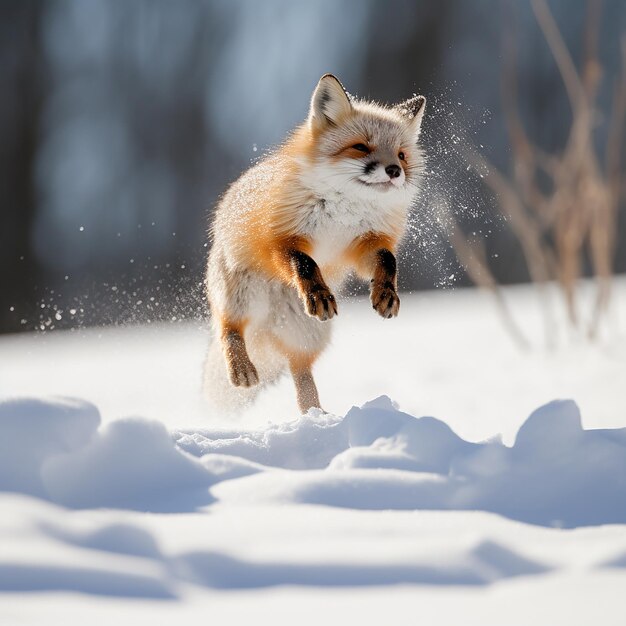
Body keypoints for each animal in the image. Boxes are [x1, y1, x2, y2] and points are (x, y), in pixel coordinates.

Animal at [204, 73, 424, 412]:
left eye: (401, 154)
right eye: (361, 147)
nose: (394, 170)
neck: (344, 210)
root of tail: (271, 321)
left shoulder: (362, 244)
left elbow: (388, 259)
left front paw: (386, 292)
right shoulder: (281, 239)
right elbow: (304, 262)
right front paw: (318, 292)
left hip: (307, 334)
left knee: (301, 371)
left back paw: (315, 415)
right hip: (240, 296)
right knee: (229, 329)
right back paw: (241, 368)